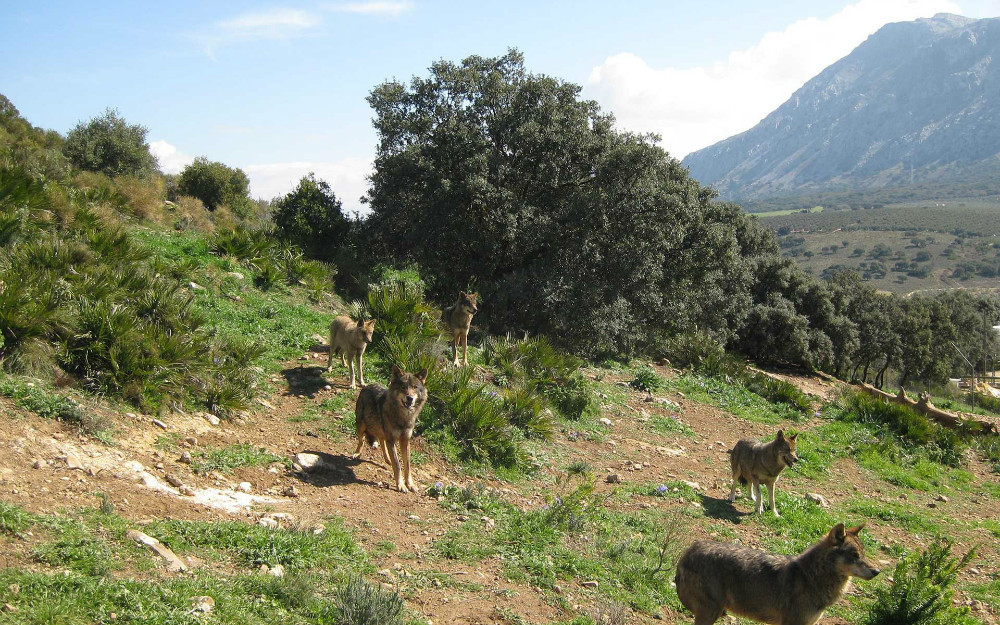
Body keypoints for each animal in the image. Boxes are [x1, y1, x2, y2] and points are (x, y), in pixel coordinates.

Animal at [676, 520, 880, 624]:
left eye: (863, 554)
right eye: (854, 555)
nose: (877, 571)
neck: (811, 578)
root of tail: (689, 551)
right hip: (710, 613)